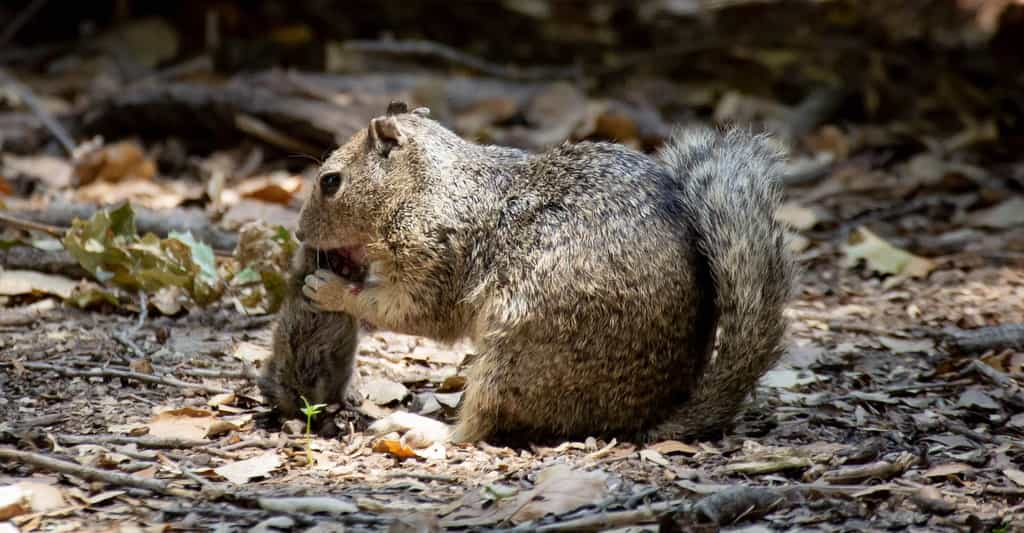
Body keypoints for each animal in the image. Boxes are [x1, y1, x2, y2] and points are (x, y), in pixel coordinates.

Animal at [260, 101, 794, 441]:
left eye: (331, 181)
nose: (301, 234)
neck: (427, 185)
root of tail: (638, 420)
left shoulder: (436, 257)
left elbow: (406, 311)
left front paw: (330, 288)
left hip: (515, 349)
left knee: (476, 430)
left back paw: (422, 428)